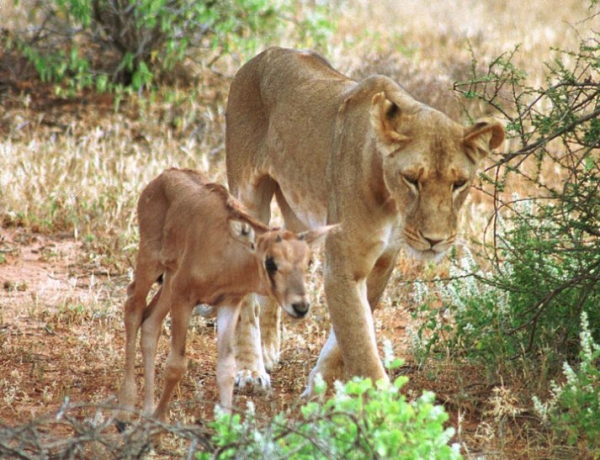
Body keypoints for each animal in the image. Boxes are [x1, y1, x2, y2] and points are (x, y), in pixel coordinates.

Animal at [117, 169, 332, 424]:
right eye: (270, 262)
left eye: (308, 261)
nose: (300, 307)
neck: (226, 253)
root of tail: (163, 177)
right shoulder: (184, 299)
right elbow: (176, 365)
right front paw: (160, 420)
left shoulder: (228, 303)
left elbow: (227, 369)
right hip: (150, 262)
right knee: (133, 306)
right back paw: (125, 410)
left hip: (169, 279)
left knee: (150, 322)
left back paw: (147, 409)